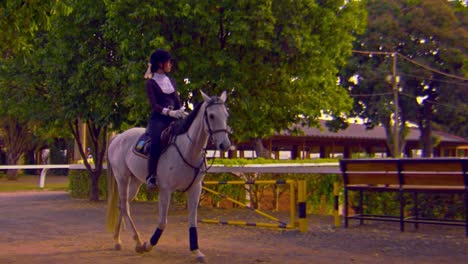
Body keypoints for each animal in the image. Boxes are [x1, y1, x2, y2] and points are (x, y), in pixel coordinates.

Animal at [105, 91, 230, 262]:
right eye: (211, 116)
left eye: (226, 114)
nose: (225, 145)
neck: (188, 149)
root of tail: (117, 137)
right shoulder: (165, 191)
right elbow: (163, 222)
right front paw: (148, 245)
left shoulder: (195, 189)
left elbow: (192, 221)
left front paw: (196, 251)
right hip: (122, 178)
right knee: (124, 206)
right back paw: (137, 241)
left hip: (135, 182)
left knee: (122, 206)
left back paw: (117, 240)